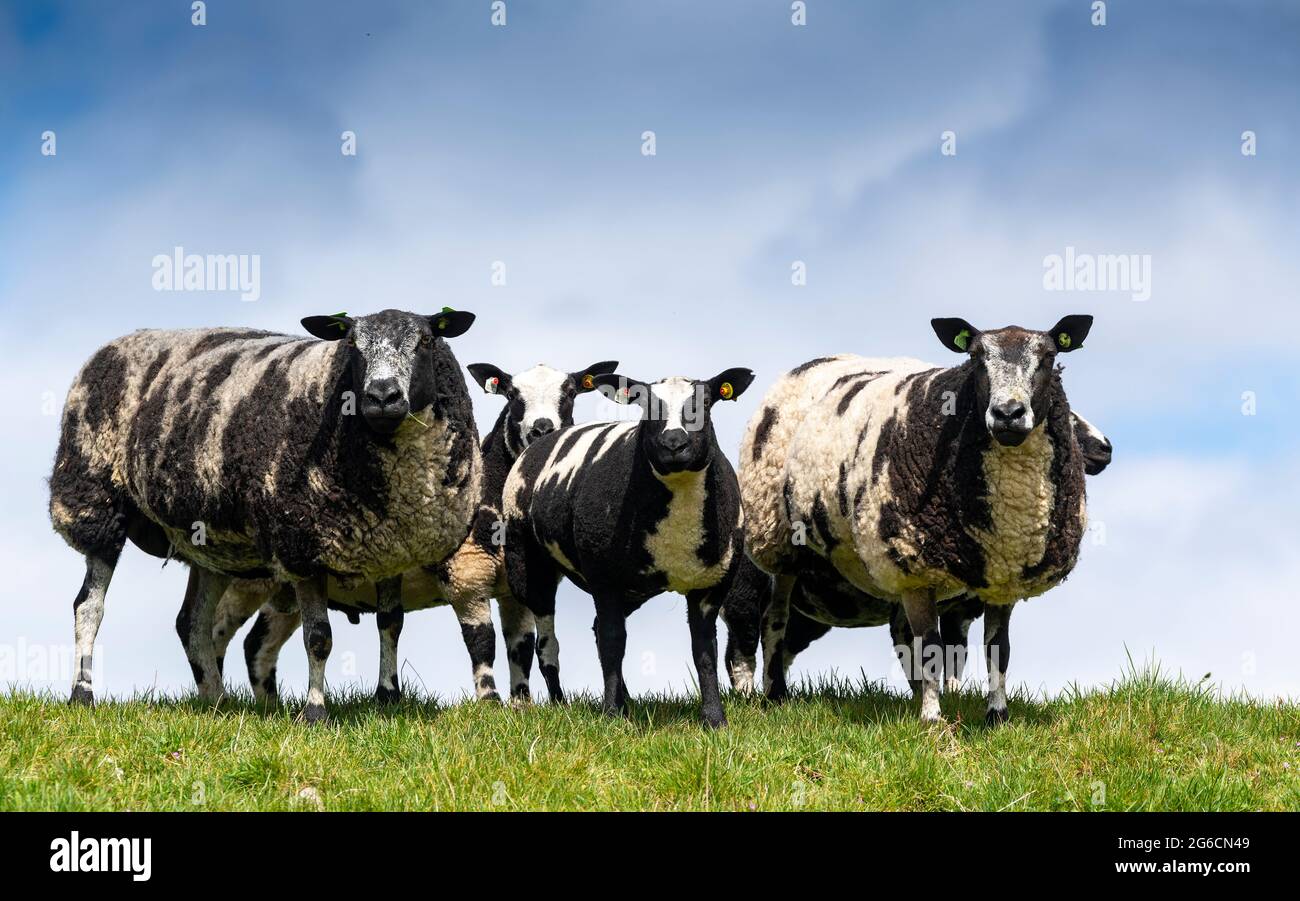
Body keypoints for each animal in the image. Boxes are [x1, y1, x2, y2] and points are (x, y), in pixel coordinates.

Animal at [49, 305, 483, 722]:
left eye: (425, 341)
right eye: (353, 344)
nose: (382, 396)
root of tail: (119, 342)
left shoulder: (393, 548)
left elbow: (390, 623)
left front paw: (388, 698)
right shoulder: (302, 545)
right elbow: (319, 638)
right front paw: (315, 712)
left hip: (210, 544)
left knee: (192, 624)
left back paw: (217, 702)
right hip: (95, 497)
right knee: (89, 607)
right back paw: (83, 694)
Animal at [198, 358, 618, 702]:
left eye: (570, 394)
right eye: (512, 395)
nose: (541, 430)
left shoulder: (513, 587)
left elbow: (522, 648)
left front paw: (522, 706)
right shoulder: (465, 575)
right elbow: (482, 642)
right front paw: (490, 703)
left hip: (284, 589)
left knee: (256, 645)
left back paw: (267, 705)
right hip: (246, 579)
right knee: (213, 631)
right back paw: (219, 700)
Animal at [501, 369, 759, 728]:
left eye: (706, 403)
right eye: (645, 405)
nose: (674, 443)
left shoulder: (711, 583)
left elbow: (703, 649)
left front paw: (714, 719)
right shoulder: (605, 577)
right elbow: (614, 643)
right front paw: (612, 715)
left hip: (632, 589)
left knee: (596, 631)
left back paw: (627, 698)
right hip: (526, 560)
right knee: (547, 643)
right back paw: (560, 702)